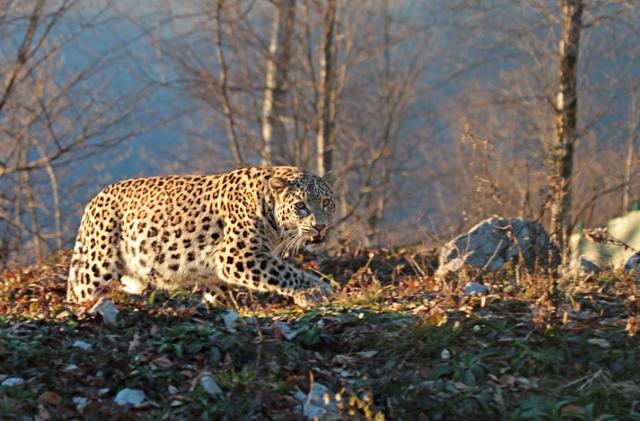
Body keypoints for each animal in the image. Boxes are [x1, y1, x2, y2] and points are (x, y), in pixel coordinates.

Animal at [67, 166, 338, 306]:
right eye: (301, 206)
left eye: (326, 202)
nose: (320, 227)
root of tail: (94, 200)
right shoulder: (238, 255)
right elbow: (285, 272)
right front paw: (316, 291)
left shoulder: (221, 271)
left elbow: (218, 294)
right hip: (97, 265)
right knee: (80, 290)